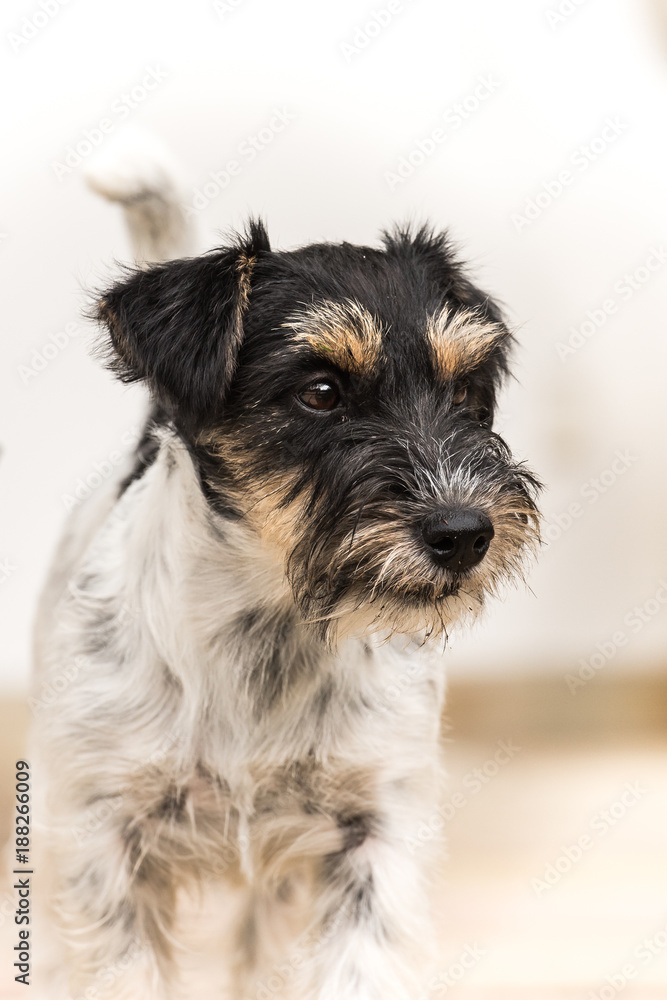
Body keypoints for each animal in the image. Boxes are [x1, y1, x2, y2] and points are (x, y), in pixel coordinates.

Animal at [32, 143, 544, 1000]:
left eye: (466, 390)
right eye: (320, 392)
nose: (464, 533)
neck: (271, 628)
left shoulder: (374, 835)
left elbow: (361, 967)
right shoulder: (105, 848)